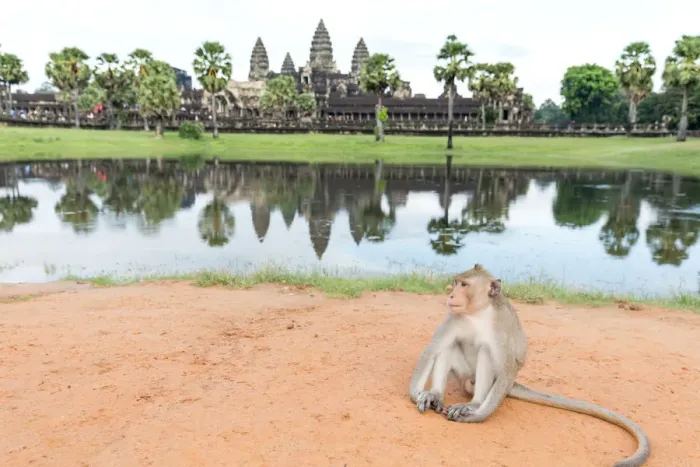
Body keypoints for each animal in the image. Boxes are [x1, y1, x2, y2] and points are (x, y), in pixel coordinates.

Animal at [408, 264, 650, 467]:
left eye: (464, 285)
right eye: (456, 282)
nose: (451, 295)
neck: (479, 313)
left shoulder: (502, 327)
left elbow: (508, 367)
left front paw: (477, 416)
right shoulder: (454, 316)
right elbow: (433, 348)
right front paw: (421, 394)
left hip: (482, 382)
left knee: (487, 354)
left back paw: (475, 403)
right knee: (449, 345)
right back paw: (436, 394)